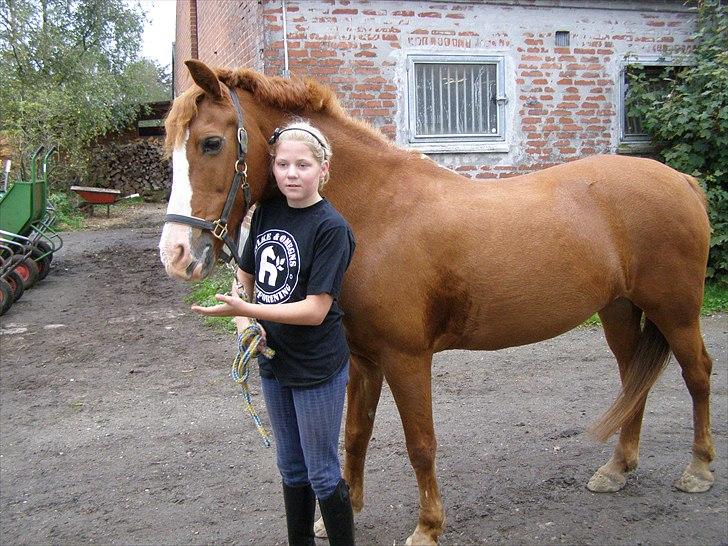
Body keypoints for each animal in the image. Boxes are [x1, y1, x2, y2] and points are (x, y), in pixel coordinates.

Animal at [161, 60, 716, 544]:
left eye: (211, 143)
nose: (176, 255)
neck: (376, 214)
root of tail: (683, 181)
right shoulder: (363, 358)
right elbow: (355, 434)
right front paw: (343, 511)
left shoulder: (406, 358)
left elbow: (420, 444)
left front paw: (427, 528)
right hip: (619, 308)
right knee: (632, 377)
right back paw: (617, 468)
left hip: (676, 311)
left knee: (697, 374)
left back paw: (698, 469)